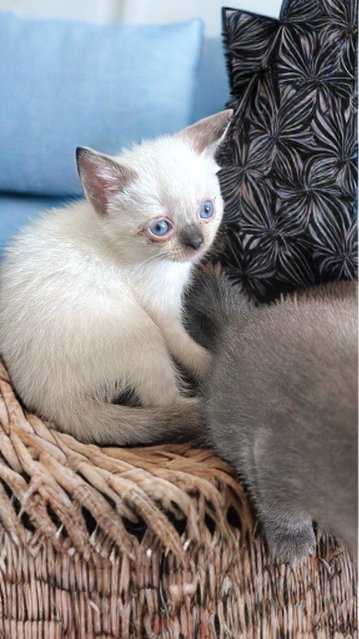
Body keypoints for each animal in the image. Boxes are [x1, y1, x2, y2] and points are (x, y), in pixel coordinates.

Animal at [0, 110, 233, 444]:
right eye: (160, 228)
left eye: (206, 210)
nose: (196, 243)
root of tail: (48, 400)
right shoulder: (162, 315)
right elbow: (189, 351)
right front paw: (212, 362)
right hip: (143, 333)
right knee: (163, 402)